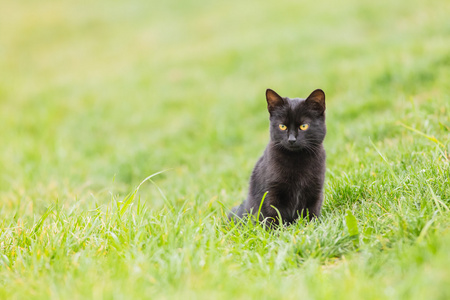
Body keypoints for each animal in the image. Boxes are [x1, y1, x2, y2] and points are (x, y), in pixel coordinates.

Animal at [230, 88, 326, 226]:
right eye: (282, 126)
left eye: (304, 126)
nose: (291, 139)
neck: (297, 160)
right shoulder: (272, 193)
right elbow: (274, 215)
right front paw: (279, 230)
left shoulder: (315, 190)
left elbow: (311, 213)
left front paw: (310, 226)